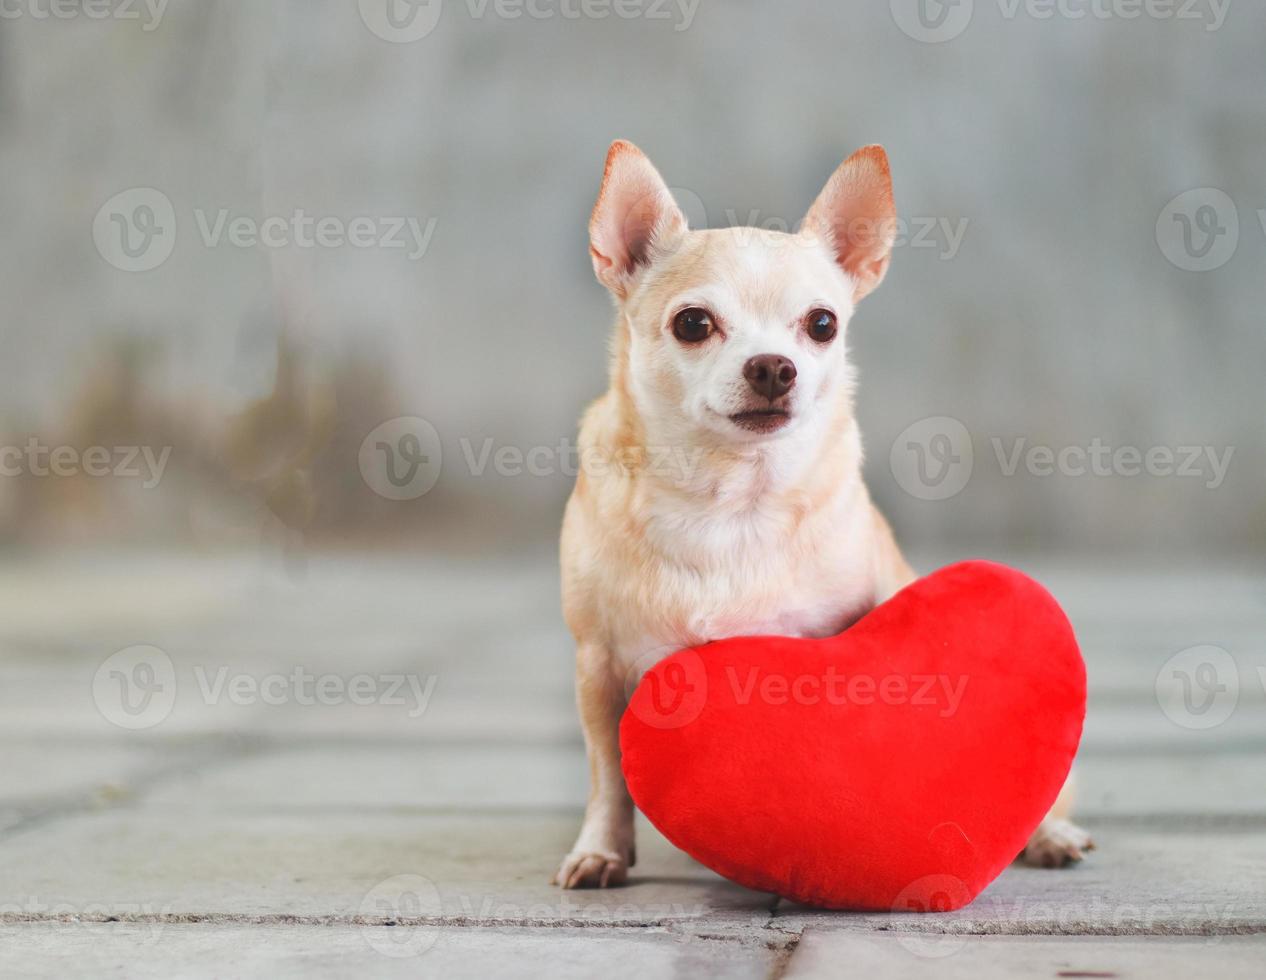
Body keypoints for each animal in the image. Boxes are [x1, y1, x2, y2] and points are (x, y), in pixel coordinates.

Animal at [551, 139, 1088, 891]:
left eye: (822, 325)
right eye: (693, 324)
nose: (774, 366)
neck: (731, 496)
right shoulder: (597, 665)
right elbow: (607, 778)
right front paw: (601, 849)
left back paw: (1050, 834)